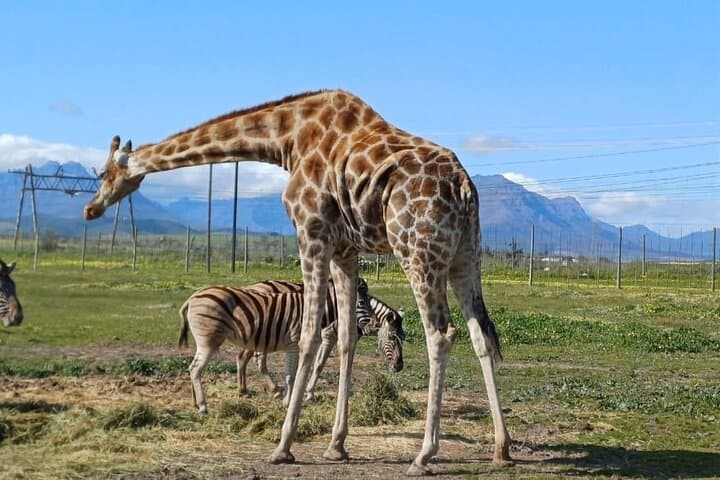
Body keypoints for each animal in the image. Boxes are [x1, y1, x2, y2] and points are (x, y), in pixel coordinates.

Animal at [84, 89, 512, 475]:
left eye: (103, 174)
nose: (90, 209)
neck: (286, 139)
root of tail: (464, 186)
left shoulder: (312, 233)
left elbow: (307, 336)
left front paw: (283, 446)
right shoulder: (345, 249)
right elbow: (346, 338)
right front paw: (336, 445)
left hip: (417, 251)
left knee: (440, 333)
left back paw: (424, 456)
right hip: (465, 256)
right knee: (480, 335)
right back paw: (502, 447)